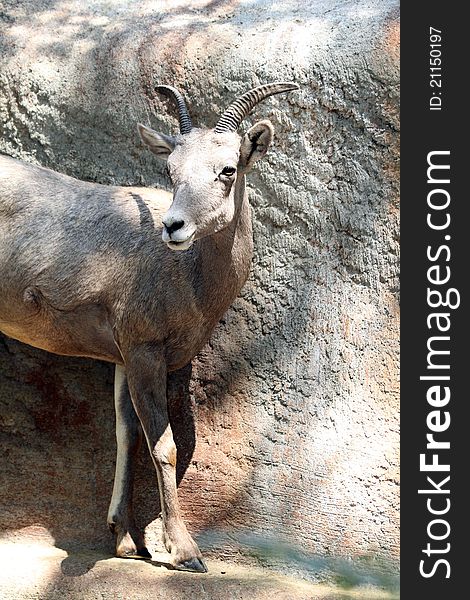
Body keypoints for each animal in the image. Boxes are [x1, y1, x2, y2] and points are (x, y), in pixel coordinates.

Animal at [0, 81, 300, 572]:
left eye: (228, 169)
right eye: (170, 169)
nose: (174, 226)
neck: (188, 276)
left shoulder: (126, 358)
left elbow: (127, 435)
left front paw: (125, 542)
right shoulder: (144, 353)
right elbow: (165, 445)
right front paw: (185, 553)